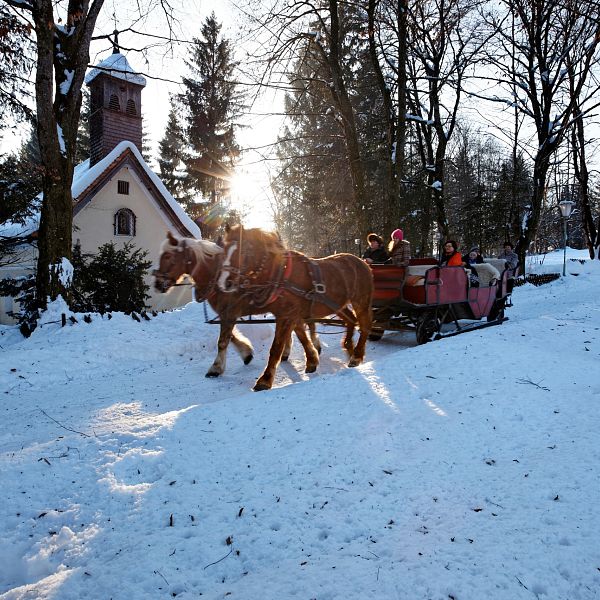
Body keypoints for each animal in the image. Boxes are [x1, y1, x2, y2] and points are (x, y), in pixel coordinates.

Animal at [155, 231, 324, 378]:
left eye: (168, 256)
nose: (157, 284)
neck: (216, 276)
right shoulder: (226, 313)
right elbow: (231, 337)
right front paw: (246, 353)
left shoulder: (229, 313)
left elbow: (223, 341)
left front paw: (216, 368)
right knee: (297, 326)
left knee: (304, 324)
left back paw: (314, 346)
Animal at [218, 224, 372, 390]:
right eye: (224, 250)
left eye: (244, 250)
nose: (225, 282)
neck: (280, 274)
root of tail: (362, 261)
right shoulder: (293, 314)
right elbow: (302, 337)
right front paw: (312, 361)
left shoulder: (287, 315)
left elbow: (276, 347)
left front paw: (265, 380)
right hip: (337, 304)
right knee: (351, 320)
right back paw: (349, 346)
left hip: (361, 300)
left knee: (364, 326)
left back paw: (357, 356)